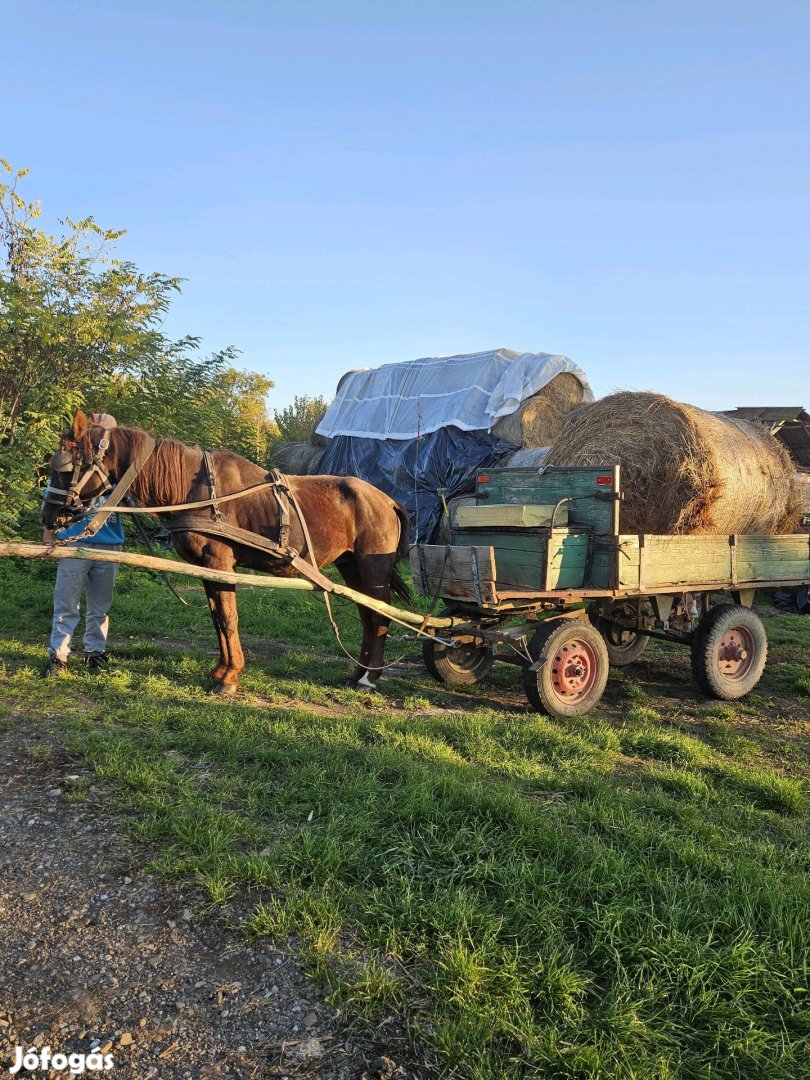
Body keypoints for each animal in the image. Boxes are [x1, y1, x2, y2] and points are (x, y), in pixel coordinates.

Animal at [42, 408, 412, 695]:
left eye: (66, 467)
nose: (48, 516)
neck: (196, 490)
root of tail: (388, 500)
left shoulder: (220, 563)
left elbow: (228, 618)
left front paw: (230, 677)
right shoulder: (205, 569)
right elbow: (217, 618)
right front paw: (220, 670)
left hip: (373, 569)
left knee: (379, 617)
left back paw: (369, 678)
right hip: (351, 567)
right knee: (368, 615)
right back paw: (357, 672)